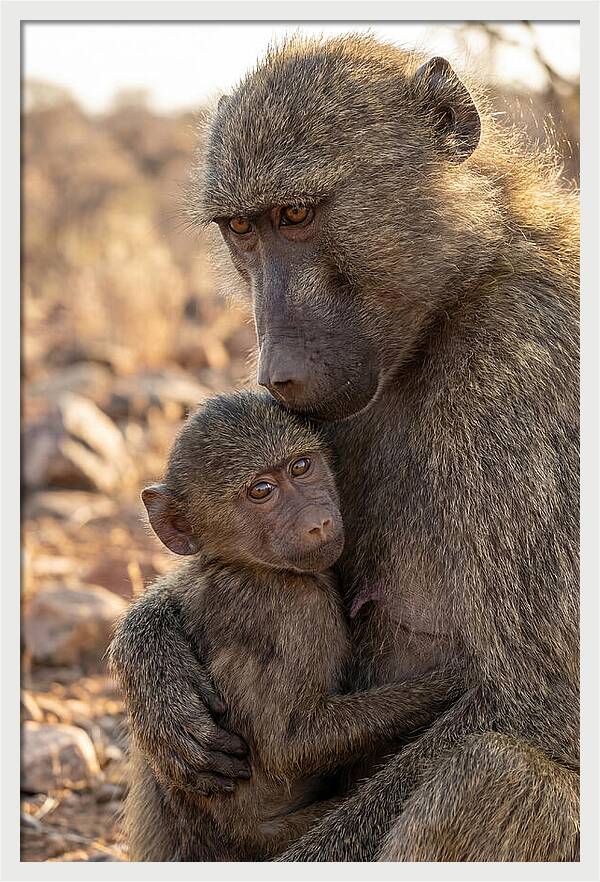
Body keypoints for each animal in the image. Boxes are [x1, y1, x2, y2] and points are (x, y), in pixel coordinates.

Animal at [111, 389, 460, 861]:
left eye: (301, 467)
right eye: (261, 491)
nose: (319, 522)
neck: (245, 565)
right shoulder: (297, 608)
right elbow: (290, 744)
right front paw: (452, 683)